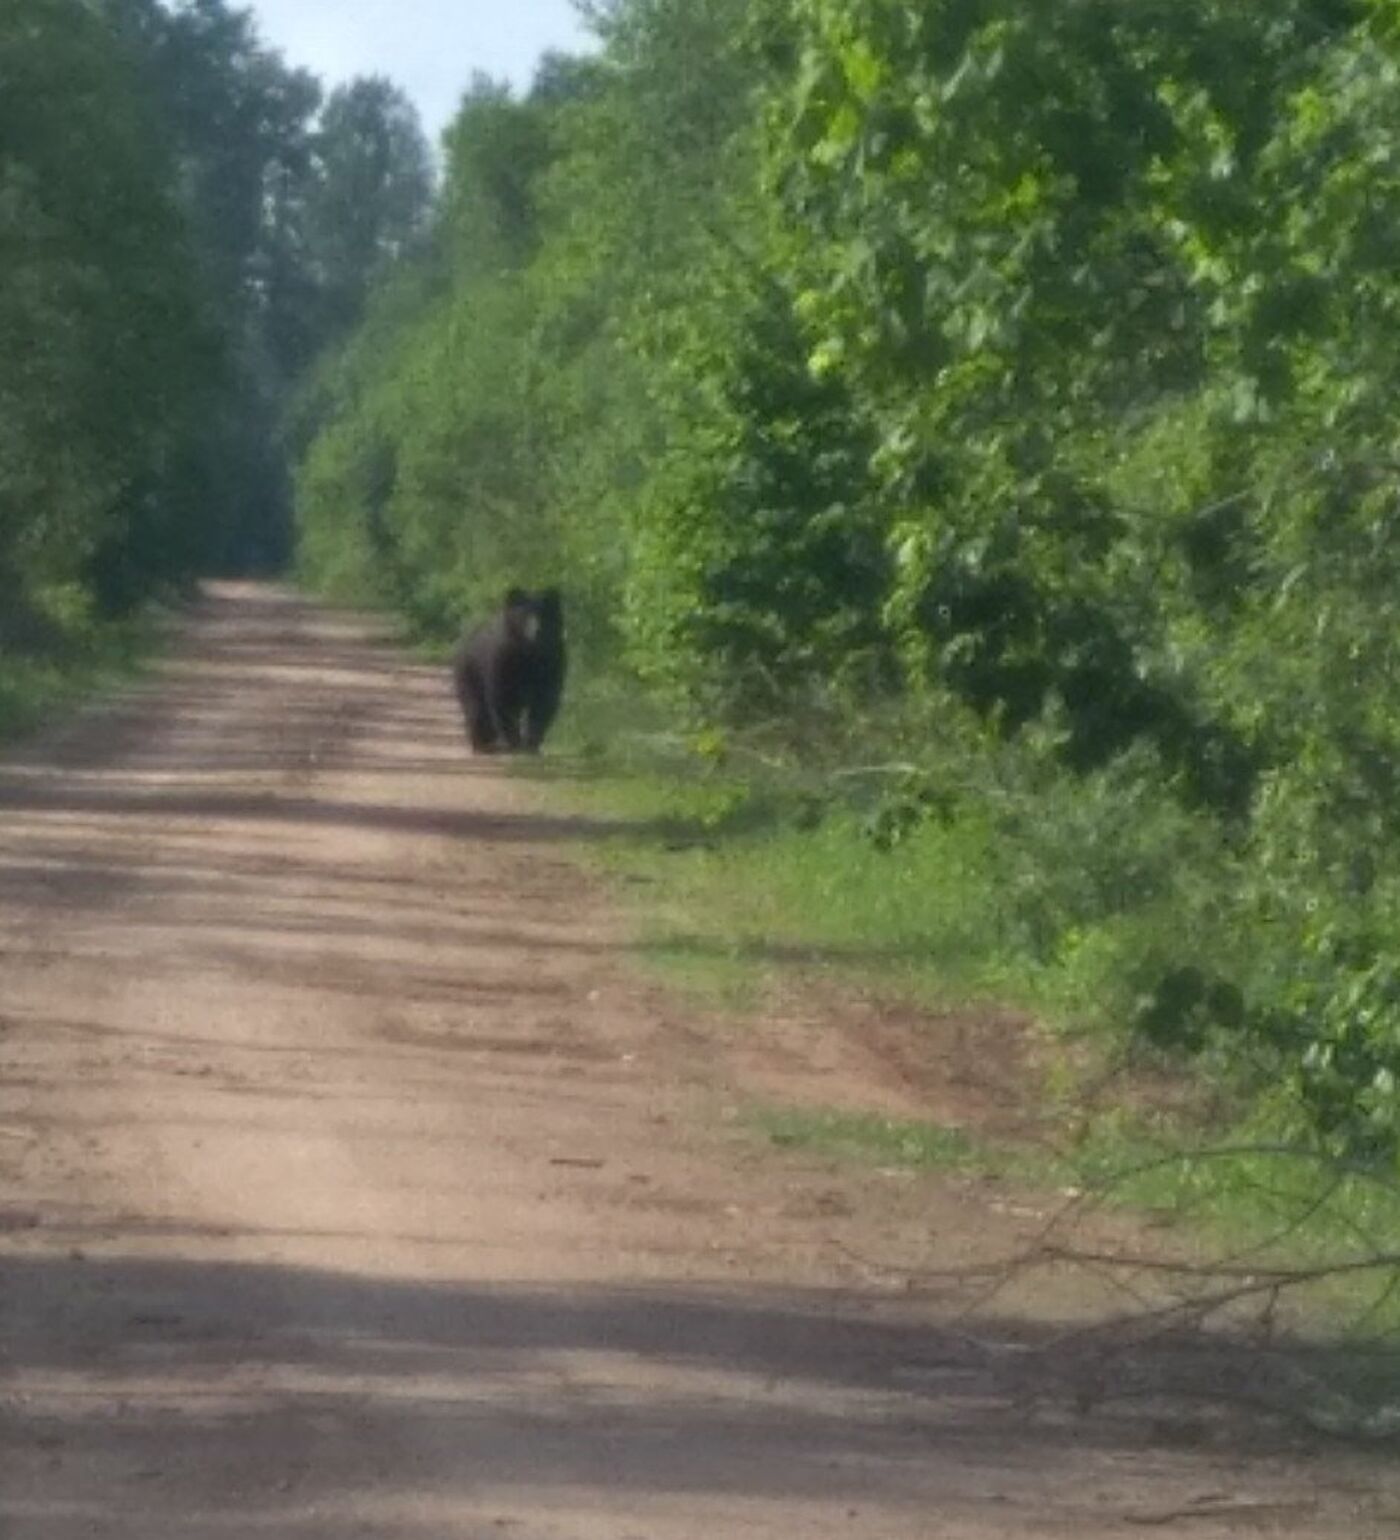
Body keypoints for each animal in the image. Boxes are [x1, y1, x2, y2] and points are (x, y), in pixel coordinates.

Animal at [446, 585, 560, 754]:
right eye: (524, 615)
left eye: (544, 615)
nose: (536, 631)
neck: (528, 652)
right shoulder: (503, 660)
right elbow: (502, 698)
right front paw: (515, 743)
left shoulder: (550, 661)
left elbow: (544, 701)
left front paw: (532, 744)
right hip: (469, 673)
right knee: (476, 708)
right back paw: (483, 742)